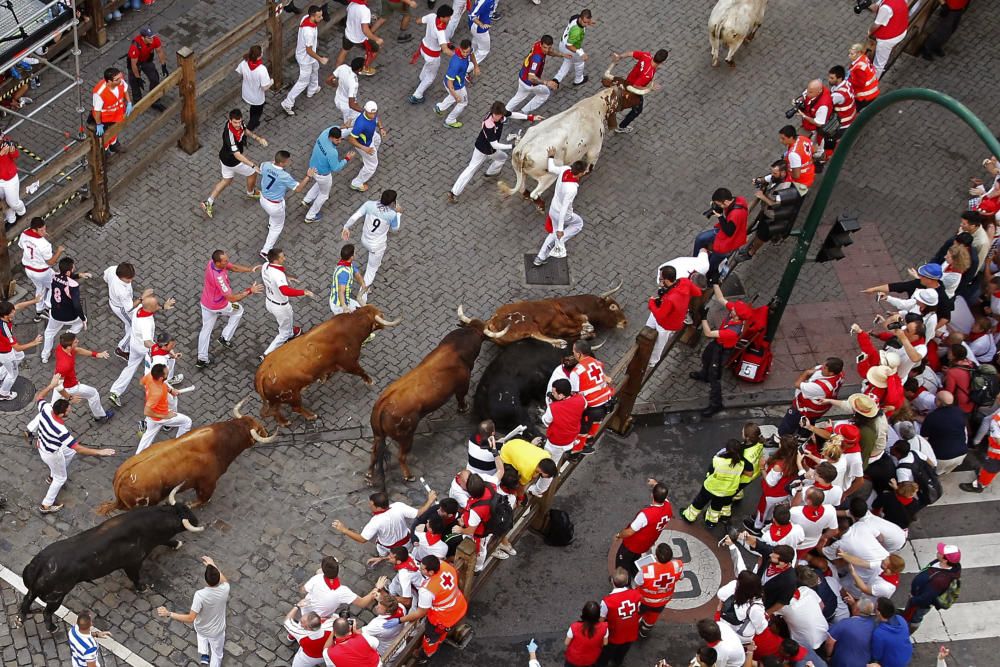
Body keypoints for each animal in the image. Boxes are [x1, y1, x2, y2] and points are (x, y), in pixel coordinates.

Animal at [18, 486, 201, 632]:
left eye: (185, 508)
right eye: (183, 516)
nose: (197, 520)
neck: (151, 522)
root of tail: (41, 562)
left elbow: (166, 540)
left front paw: (176, 543)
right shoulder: (133, 563)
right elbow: (136, 577)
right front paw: (142, 588)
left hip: (36, 590)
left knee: (26, 601)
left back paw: (20, 619)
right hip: (56, 596)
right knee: (46, 612)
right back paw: (52, 628)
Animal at [95, 400, 274, 516]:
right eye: (259, 429)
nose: (266, 432)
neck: (219, 442)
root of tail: (123, 476)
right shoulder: (207, 483)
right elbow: (203, 499)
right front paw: (190, 504)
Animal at [252, 306, 400, 428]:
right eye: (381, 314)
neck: (351, 326)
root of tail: (262, 373)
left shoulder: (331, 365)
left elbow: (327, 373)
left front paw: (323, 378)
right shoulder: (349, 362)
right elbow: (361, 371)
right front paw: (370, 381)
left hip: (275, 400)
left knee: (272, 411)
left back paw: (284, 422)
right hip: (292, 396)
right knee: (295, 408)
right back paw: (311, 416)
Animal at [368, 316, 508, 482]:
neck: (455, 349)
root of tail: (382, 405)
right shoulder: (463, 385)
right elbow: (461, 399)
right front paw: (463, 408)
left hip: (378, 435)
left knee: (374, 452)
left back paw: (369, 475)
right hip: (406, 437)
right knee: (401, 456)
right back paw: (408, 476)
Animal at [458, 280, 624, 350]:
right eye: (613, 307)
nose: (625, 322)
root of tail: (492, 320)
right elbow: (587, 326)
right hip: (523, 322)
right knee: (535, 333)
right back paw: (559, 342)